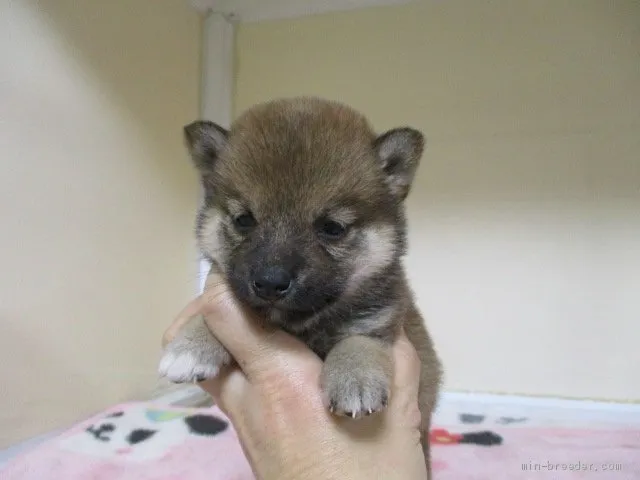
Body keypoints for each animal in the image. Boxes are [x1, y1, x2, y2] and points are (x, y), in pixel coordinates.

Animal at [159, 97, 440, 476]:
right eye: (244, 220)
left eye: (332, 228)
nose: (270, 282)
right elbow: (209, 314)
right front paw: (191, 345)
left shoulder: (379, 321)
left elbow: (358, 340)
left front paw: (354, 379)